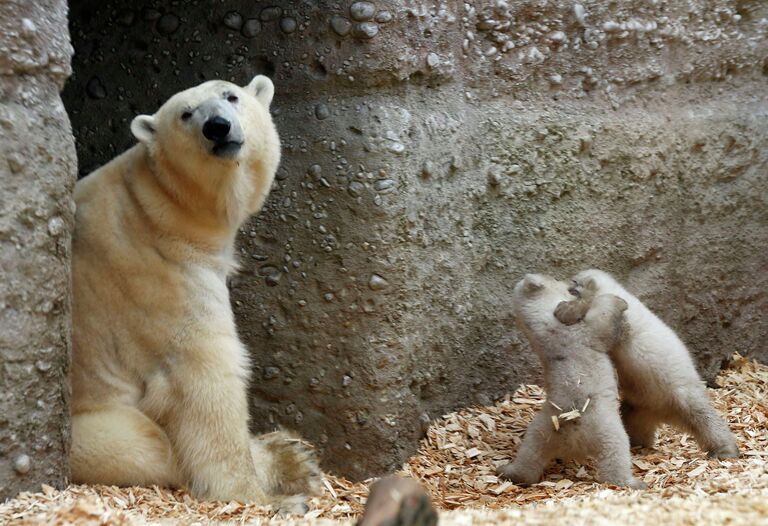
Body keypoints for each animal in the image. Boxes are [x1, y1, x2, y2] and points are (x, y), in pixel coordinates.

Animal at [70, 76, 320, 512]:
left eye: (230, 95)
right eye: (186, 114)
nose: (218, 127)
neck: (159, 208)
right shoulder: (158, 274)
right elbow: (204, 377)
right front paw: (268, 502)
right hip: (90, 424)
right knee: (148, 445)